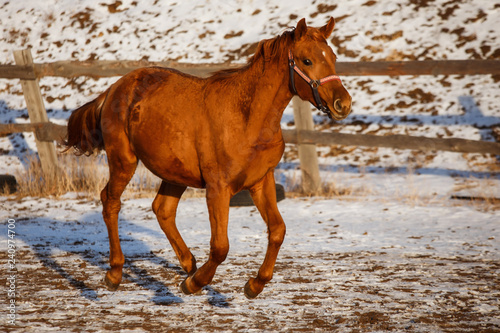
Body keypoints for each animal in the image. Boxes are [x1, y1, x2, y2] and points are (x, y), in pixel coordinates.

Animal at [65, 17, 352, 298]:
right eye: (307, 60)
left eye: (333, 57)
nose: (343, 104)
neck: (248, 119)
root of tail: (115, 87)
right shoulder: (218, 188)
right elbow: (221, 246)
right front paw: (195, 284)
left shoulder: (261, 181)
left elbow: (278, 231)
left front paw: (254, 285)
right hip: (124, 160)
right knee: (111, 201)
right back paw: (115, 273)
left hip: (174, 171)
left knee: (162, 209)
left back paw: (188, 264)